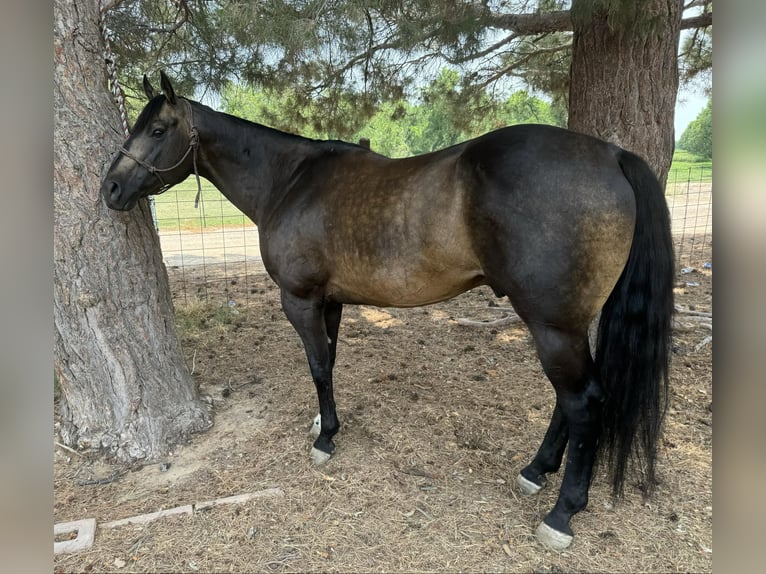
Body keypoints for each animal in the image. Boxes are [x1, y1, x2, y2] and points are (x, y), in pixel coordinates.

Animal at [100, 72, 674, 551]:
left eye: (157, 129)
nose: (110, 188)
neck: (290, 179)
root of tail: (611, 155)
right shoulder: (329, 302)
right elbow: (330, 363)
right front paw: (324, 423)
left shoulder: (300, 300)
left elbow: (316, 366)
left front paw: (325, 439)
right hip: (567, 324)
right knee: (569, 400)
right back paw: (536, 470)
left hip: (553, 326)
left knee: (583, 401)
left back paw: (561, 514)